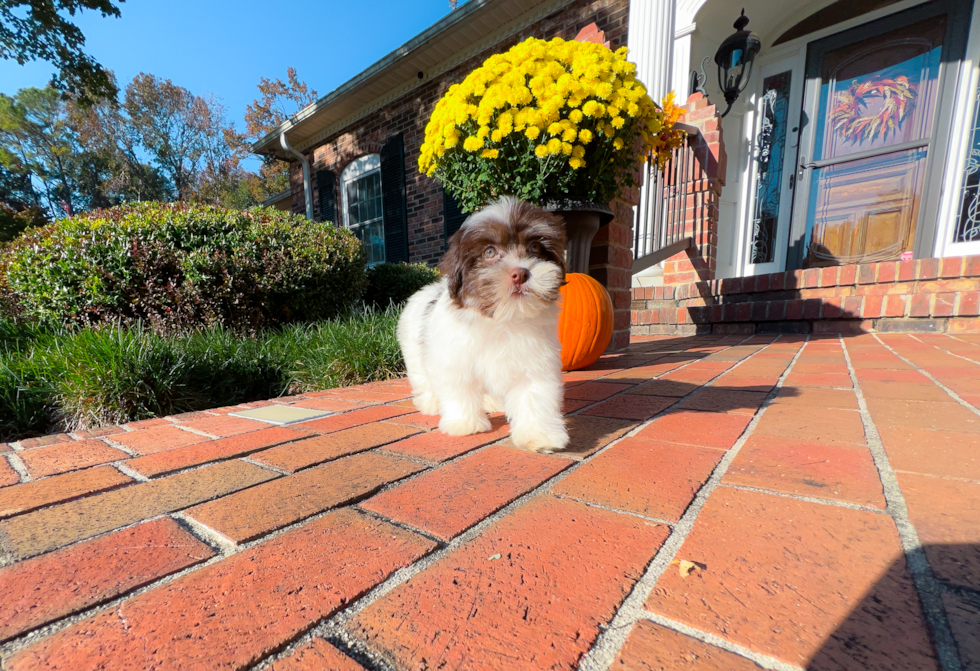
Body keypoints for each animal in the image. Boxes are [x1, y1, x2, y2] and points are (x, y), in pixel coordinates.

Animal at [396, 197, 572, 454]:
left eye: (534, 248)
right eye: (489, 252)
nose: (520, 273)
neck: (503, 319)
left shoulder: (535, 363)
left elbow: (534, 395)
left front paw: (539, 436)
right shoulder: (454, 360)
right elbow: (459, 390)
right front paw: (464, 424)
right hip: (414, 351)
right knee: (423, 378)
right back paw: (430, 403)